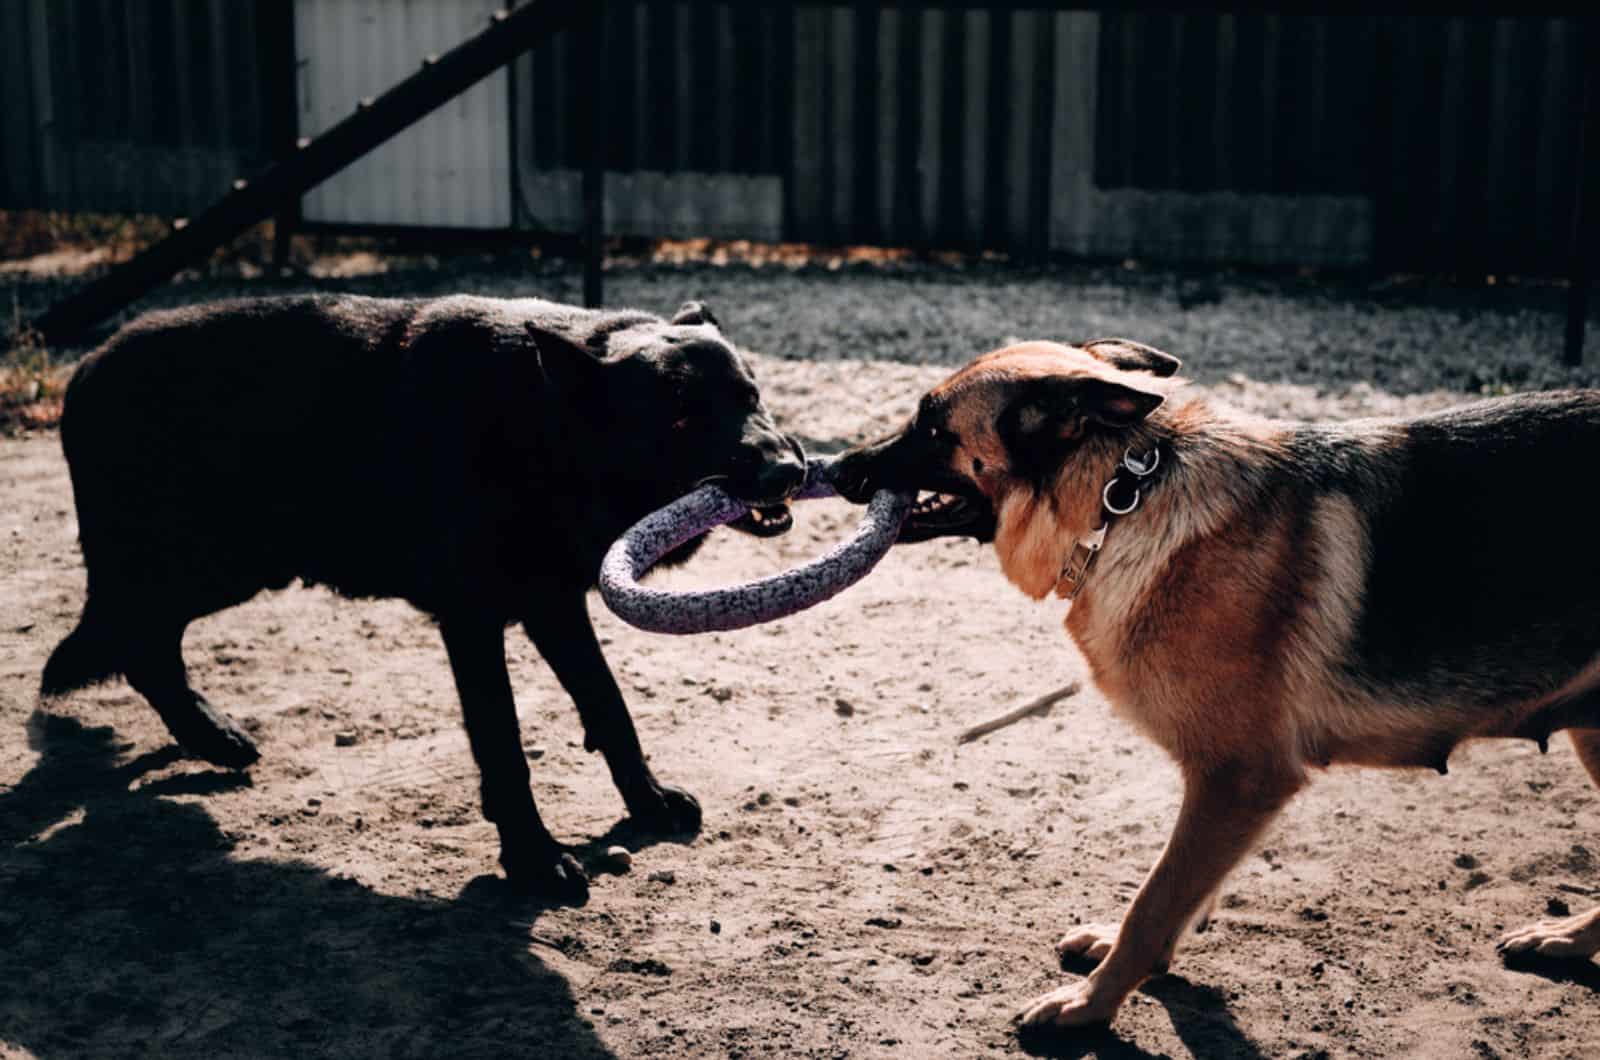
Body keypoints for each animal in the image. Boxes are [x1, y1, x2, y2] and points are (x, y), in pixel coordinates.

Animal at [42, 293, 806, 903]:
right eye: (679, 418)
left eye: (751, 395)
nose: (789, 470)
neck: (535, 424)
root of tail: (80, 374)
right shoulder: (473, 623)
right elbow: (504, 743)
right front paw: (533, 861)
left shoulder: (553, 606)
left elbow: (608, 706)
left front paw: (646, 803)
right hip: (215, 565)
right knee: (138, 640)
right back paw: (208, 733)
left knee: (143, 641)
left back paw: (209, 735)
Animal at [832, 337, 1600, 1031]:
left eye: (933, 428)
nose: (834, 467)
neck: (1121, 501)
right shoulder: (1225, 791)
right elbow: (1179, 889)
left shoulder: (1240, 776)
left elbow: (1154, 899)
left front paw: (1090, 1007)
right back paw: (1566, 940)